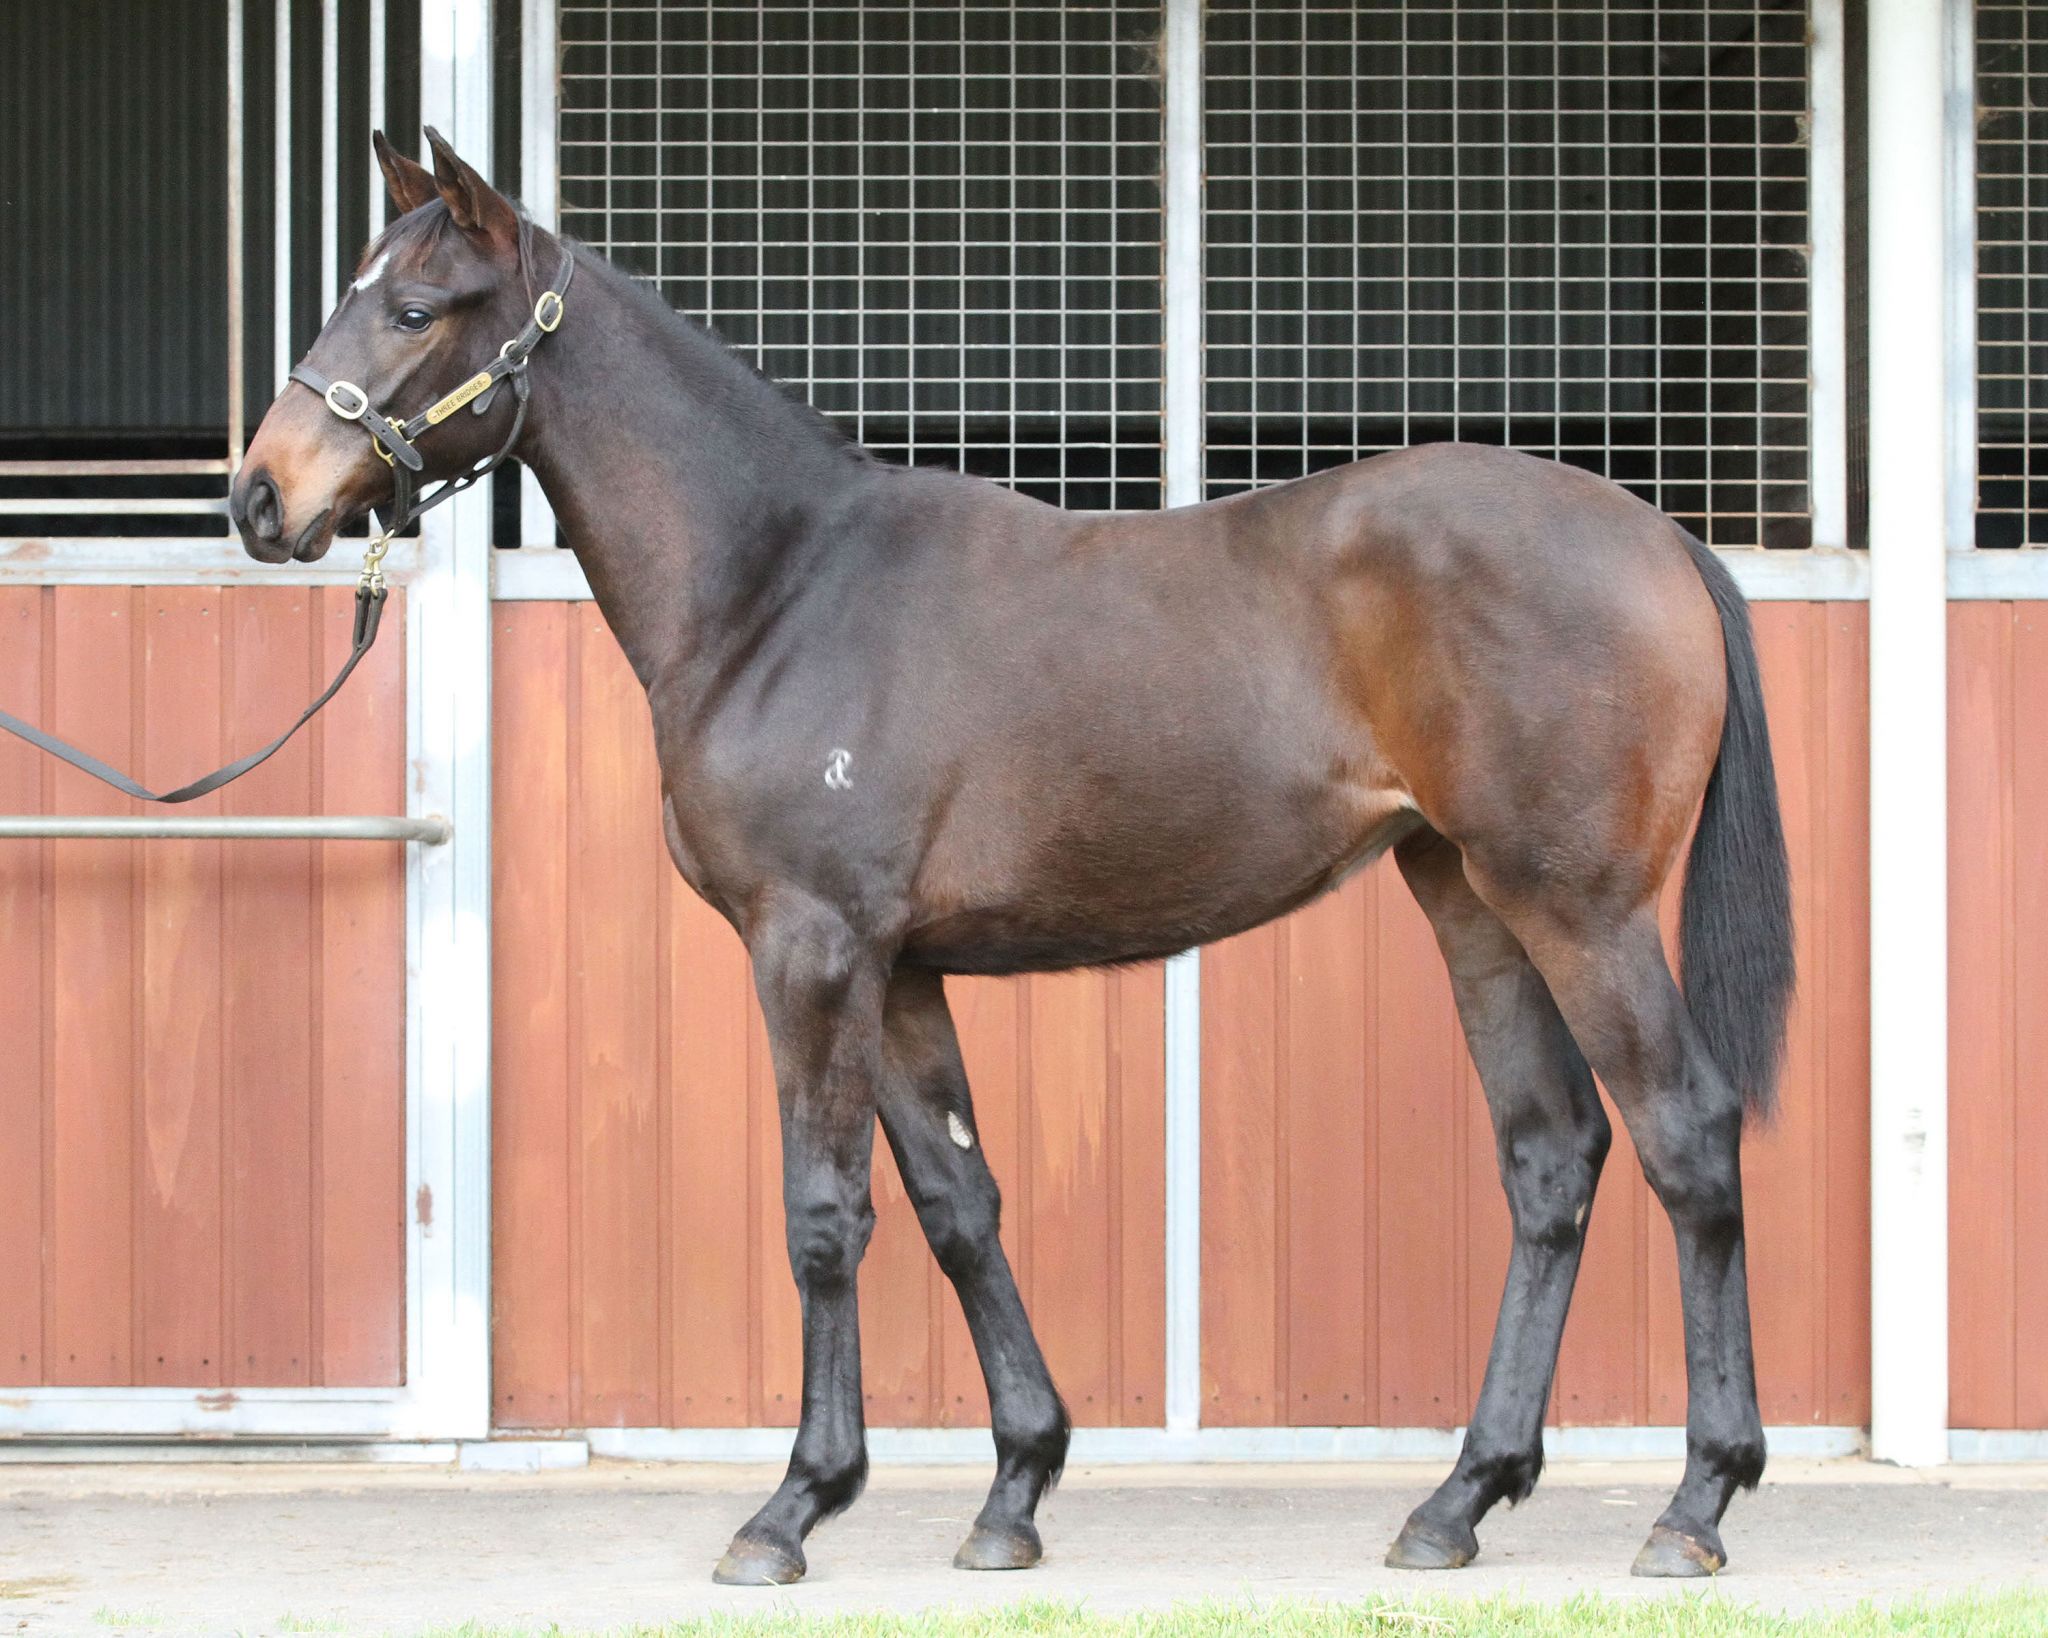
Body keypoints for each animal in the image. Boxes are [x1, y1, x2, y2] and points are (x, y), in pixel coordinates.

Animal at [231, 131, 1794, 1585]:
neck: (778, 583)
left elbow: (825, 1214)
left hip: (1579, 910)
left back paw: (1694, 1504)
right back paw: (1457, 1499)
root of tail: (1662, 537)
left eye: (417, 308)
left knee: (1684, 1136)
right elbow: (957, 1206)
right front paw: (1013, 1492)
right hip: (1470, 901)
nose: (259, 498)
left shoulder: (811, 949)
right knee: (1551, 1157)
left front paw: (792, 1508)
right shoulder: (901, 969)